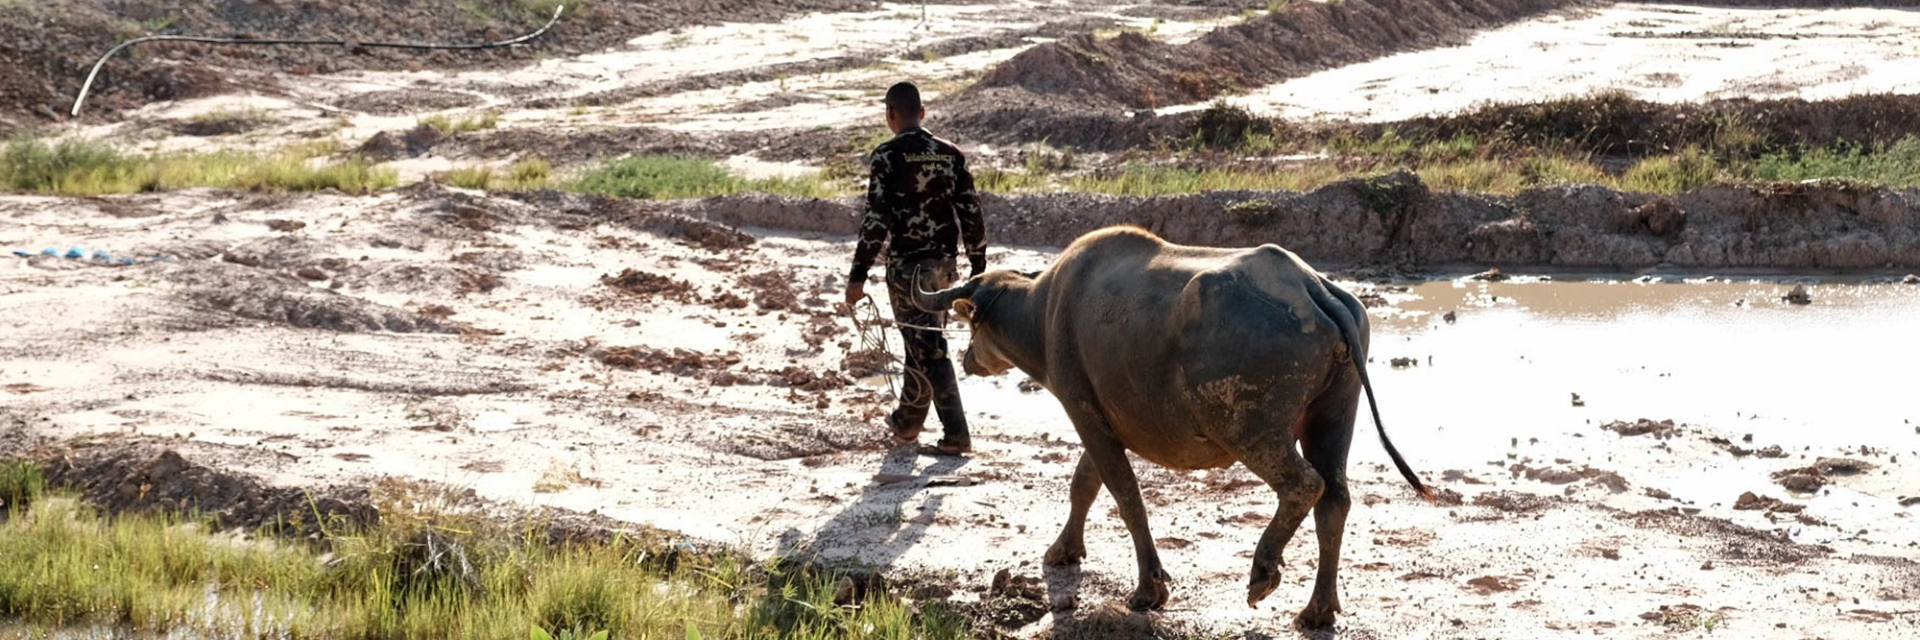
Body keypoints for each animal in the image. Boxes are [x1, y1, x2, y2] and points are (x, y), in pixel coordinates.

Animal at [906, 223, 1436, 626]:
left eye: (970, 325)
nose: (967, 358)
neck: (1044, 311)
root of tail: (1312, 289)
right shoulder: (1103, 420)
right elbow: (1085, 483)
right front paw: (1064, 549)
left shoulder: (1084, 412)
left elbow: (1124, 495)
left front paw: (1149, 588)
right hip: (1333, 415)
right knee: (1335, 500)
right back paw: (1317, 610)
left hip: (1252, 430)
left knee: (1304, 484)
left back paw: (1263, 572)